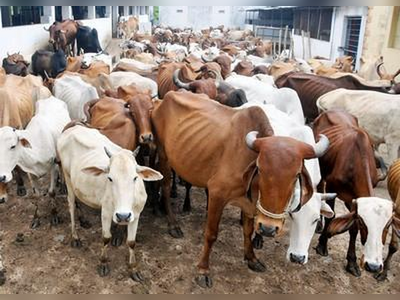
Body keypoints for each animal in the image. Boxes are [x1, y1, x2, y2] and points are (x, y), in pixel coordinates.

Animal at [56, 125, 162, 282]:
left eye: (135, 178)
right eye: (110, 178)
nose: (123, 216)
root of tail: (73, 128)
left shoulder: (136, 214)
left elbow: (131, 242)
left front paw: (134, 269)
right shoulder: (105, 212)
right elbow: (106, 238)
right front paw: (103, 263)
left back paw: (83, 220)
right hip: (67, 177)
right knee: (71, 205)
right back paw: (75, 236)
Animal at [152, 90, 330, 288]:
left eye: (296, 175)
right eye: (260, 168)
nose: (269, 229)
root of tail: (166, 96)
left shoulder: (250, 204)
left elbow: (248, 231)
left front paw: (252, 258)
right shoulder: (217, 194)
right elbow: (211, 234)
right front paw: (203, 270)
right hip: (163, 154)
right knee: (165, 187)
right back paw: (172, 224)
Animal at [312, 110, 388, 276]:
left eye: (386, 228)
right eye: (366, 225)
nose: (373, 267)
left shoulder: (355, 198)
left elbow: (353, 228)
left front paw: (352, 262)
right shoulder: (332, 187)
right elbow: (332, 216)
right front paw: (322, 244)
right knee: (319, 189)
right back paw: (319, 224)